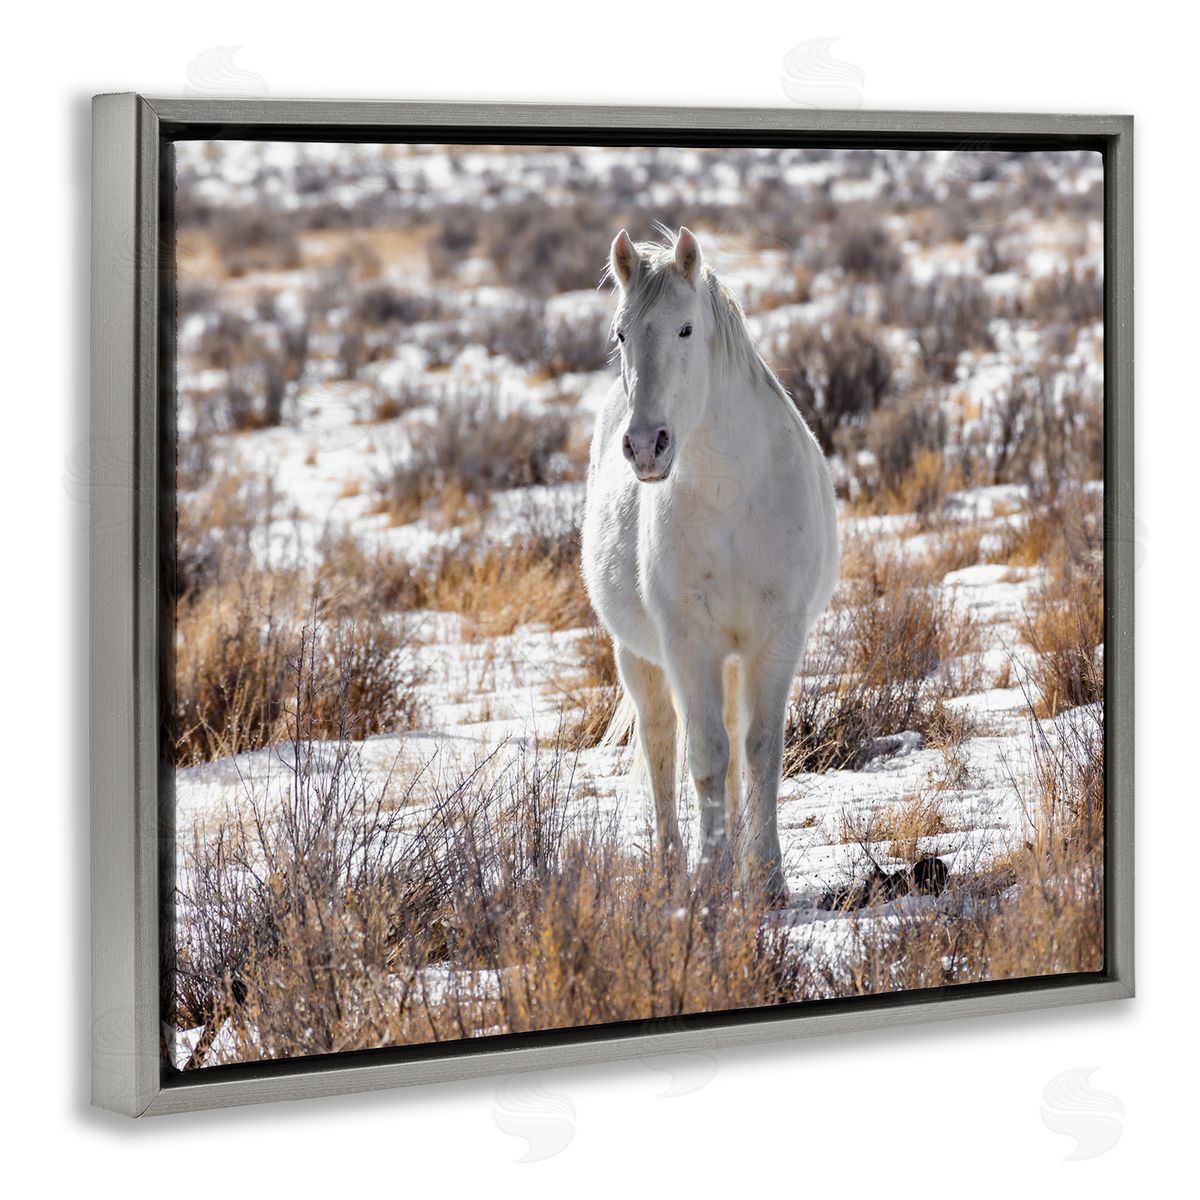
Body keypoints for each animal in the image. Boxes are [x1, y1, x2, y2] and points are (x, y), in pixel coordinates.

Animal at [581, 226, 839, 905]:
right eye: (621, 333)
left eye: (686, 329)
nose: (646, 446)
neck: (729, 495)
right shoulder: (687, 640)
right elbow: (703, 755)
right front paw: (712, 878)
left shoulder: (777, 635)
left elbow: (759, 750)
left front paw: (767, 878)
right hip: (640, 657)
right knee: (661, 744)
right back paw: (675, 865)